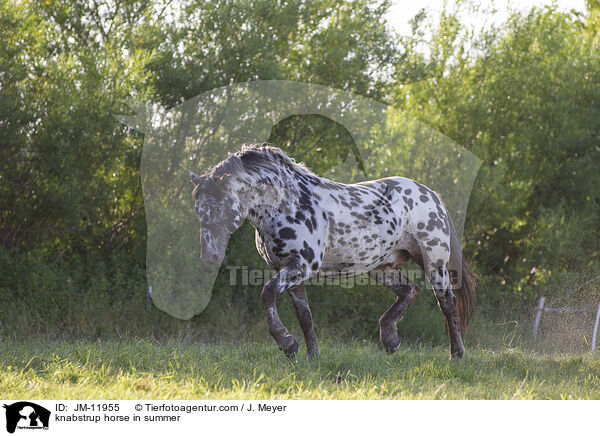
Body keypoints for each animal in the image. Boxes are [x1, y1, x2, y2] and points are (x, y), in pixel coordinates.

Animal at [190, 145, 476, 360]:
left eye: (220, 207)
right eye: (198, 210)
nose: (210, 256)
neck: (286, 203)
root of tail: (431, 195)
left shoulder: (301, 266)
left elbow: (267, 293)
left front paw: (286, 342)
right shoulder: (288, 270)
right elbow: (304, 316)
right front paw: (310, 354)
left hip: (433, 262)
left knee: (447, 303)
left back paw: (456, 354)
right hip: (380, 267)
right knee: (410, 291)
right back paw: (390, 339)